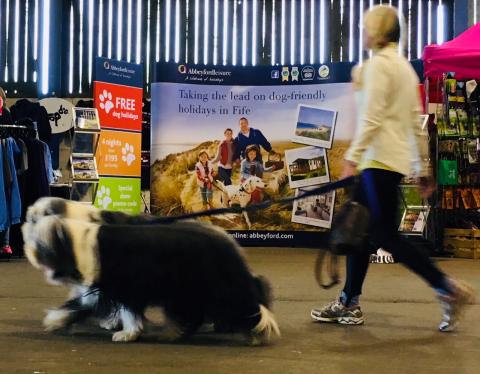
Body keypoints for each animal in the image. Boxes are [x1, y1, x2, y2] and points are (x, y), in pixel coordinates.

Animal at [22, 213, 280, 344]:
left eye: (38, 242)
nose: (26, 248)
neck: (77, 243)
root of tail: (229, 246)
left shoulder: (123, 286)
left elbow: (128, 312)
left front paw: (127, 334)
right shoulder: (100, 290)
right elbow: (79, 305)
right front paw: (56, 321)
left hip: (212, 287)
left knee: (244, 305)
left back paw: (255, 333)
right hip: (186, 292)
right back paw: (175, 333)